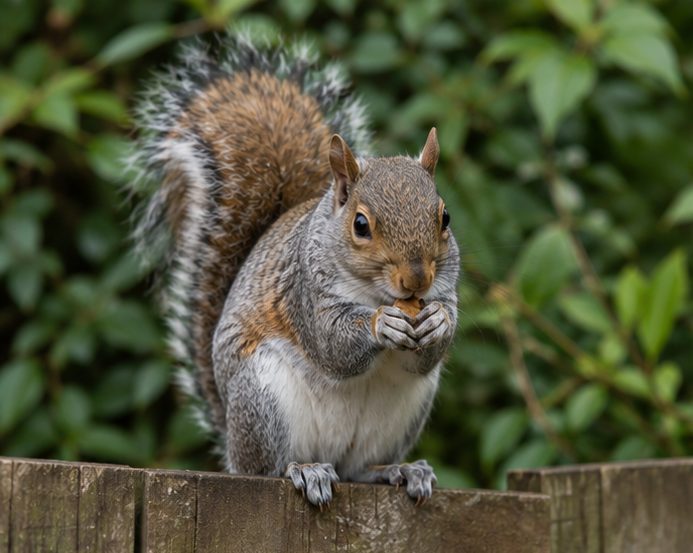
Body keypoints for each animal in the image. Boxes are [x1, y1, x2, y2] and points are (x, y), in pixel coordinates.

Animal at [129, 33, 460, 507]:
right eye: (361, 225)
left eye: (445, 217)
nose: (417, 280)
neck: (377, 292)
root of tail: (232, 445)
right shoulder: (304, 290)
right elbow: (331, 344)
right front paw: (382, 324)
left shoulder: (445, 288)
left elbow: (427, 351)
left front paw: (437, 320)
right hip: (263, 397)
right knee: (266, 469)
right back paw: (303, 469)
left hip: (404, 413)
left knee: (360, 469)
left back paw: (399, 469)